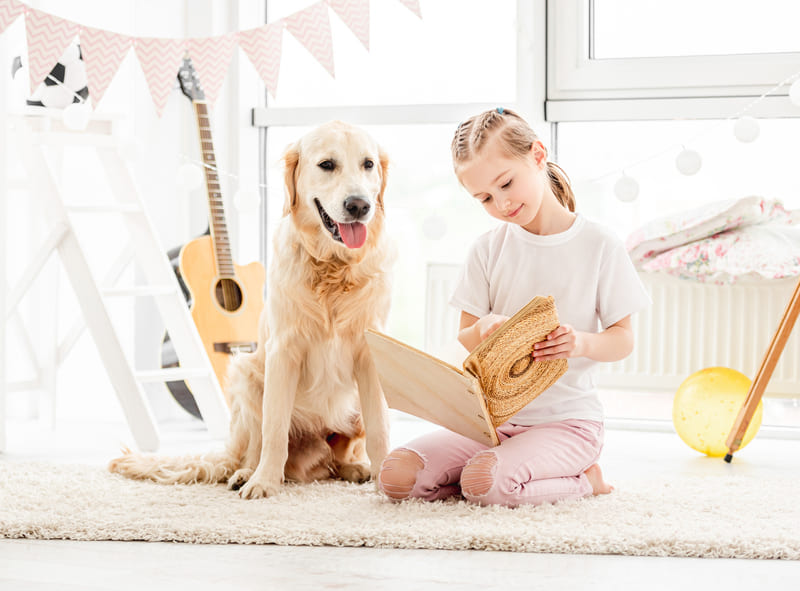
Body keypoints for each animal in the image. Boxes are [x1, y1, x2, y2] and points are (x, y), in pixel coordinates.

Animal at [108, 121, 396, 500]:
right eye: (327, 165)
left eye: (368, 164)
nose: (359, 205)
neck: (332, 268)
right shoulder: (282, 351)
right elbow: (274, 429)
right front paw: (264, 482)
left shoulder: (370, 354)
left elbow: (380, 429)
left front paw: (386, 480)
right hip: (246, 375)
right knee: (255, 446)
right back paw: (247, 472)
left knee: (337, 458)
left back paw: (354, 467)